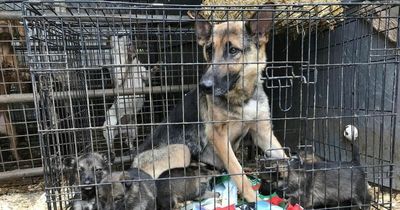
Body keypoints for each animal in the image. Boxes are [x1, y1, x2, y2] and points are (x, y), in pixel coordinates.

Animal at [136, 6, 286, 203]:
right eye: (209, 49)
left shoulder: (263, 132)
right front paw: (252, 198)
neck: (242, 98)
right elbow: (238, 171)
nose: (204, 86)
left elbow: (284, 157)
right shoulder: (219, 137)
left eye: (233, 50)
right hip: (181, 150)